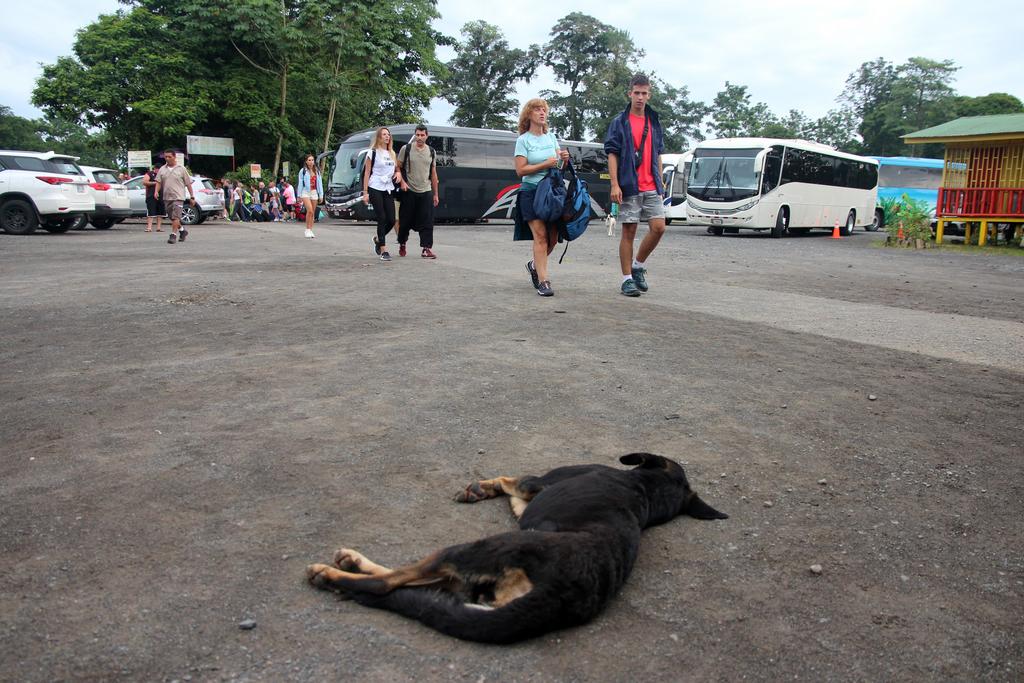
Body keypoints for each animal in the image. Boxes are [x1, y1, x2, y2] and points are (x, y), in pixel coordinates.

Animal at [305, 456, 729, 643]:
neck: (647, 493)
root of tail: (559, 593)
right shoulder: (532, 504)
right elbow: (513, 495)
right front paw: (482, 489)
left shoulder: (538, 484)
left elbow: (512, 481)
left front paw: (483, 486)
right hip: (474, 584)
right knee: (413, 584)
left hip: (477, 548)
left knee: (389, 583)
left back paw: (335, 572)